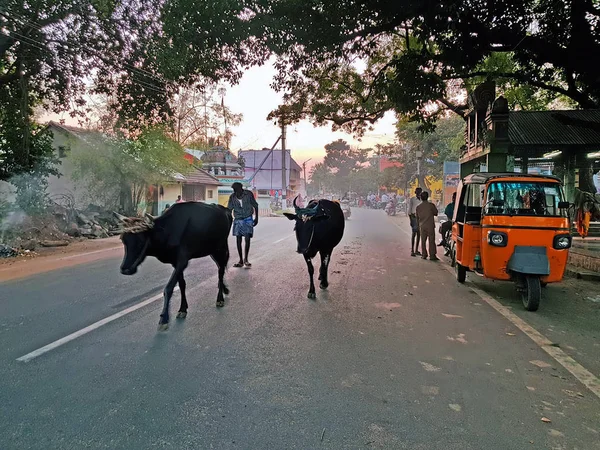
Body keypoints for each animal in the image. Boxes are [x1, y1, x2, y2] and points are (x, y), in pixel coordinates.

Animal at [114, 202, 232, 332]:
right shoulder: (175, 263)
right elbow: (182, 285)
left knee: (221, 271)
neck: (167, 230)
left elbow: (168, 288)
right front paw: (182, 309)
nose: (125, 269)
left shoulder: (182, 261)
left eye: (141, 241)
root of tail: (225, 210)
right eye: (123, 240)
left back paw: (220, 299)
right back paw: (225, 289)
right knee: (220, 268)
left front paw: (164, 319)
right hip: (212, 251)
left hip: (220, 248)